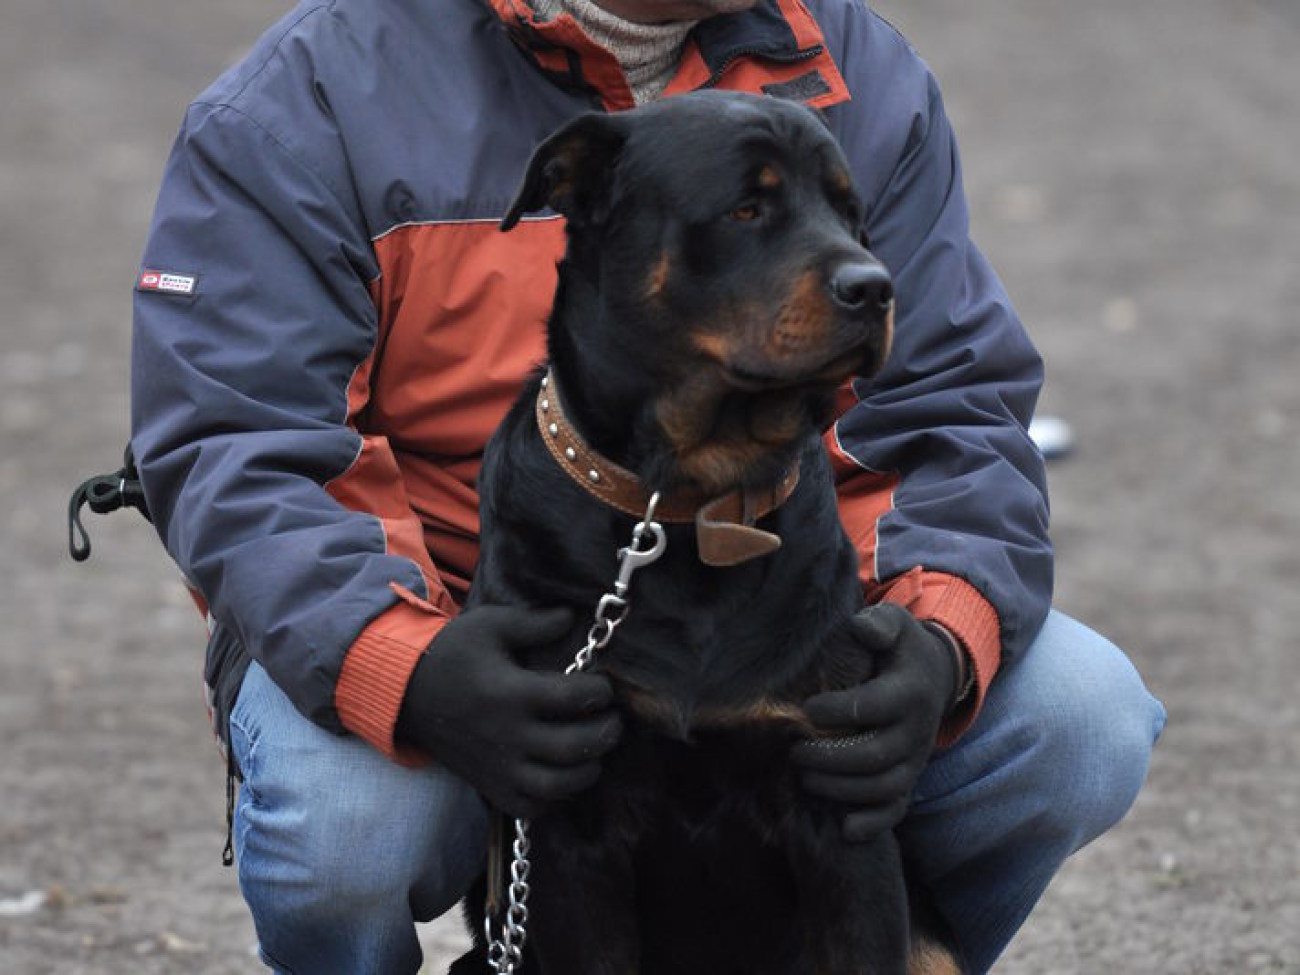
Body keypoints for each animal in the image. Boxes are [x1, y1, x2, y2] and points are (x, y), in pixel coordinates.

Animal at [452, 91, 961, 975]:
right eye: (746, 208)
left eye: (850, 212)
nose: (876, 288)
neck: (687, 507)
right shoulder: (567, 826)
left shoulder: (842, 807)